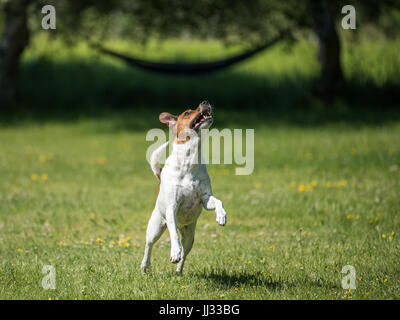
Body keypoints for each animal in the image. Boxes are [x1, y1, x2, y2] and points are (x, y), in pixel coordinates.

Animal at [141, 101, 228, 274]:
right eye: (187, 112)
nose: (205, 102)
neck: (189, 159)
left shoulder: (205, 199)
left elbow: (218, 201)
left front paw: (221, 216)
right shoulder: (171, 208)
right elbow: (173, 235)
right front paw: (174, 252)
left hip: (190, 237)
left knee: (185, 252)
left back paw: (179, 271)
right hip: (155, 227)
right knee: (149, 245)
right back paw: (145, 266)